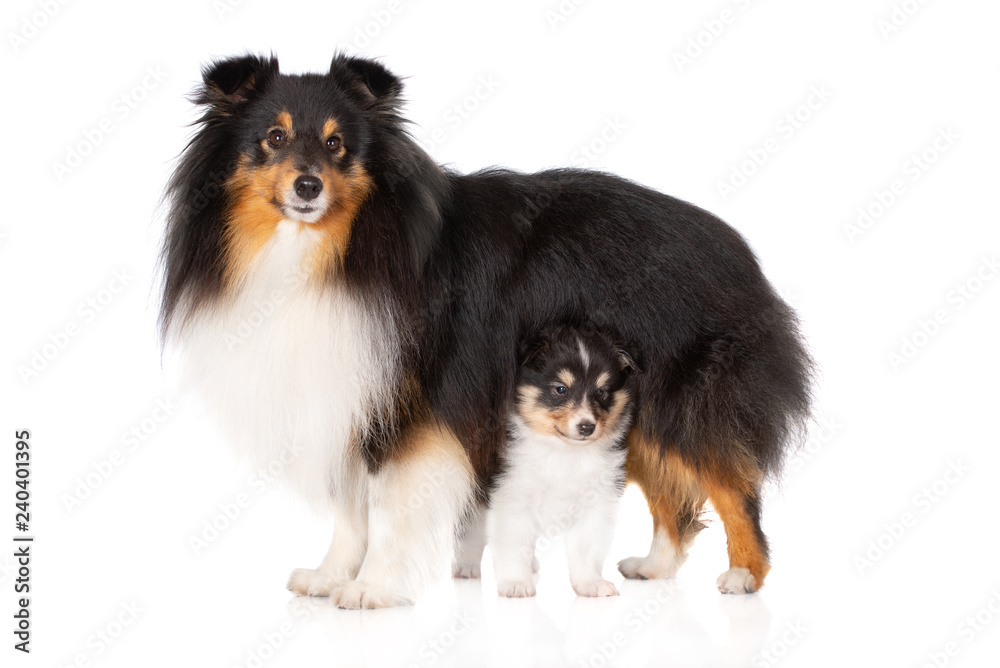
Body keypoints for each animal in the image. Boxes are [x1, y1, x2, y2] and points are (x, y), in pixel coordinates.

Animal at [480, 326, 628, 596]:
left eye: (601, 392)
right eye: (561, 389)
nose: (587, 427)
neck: (564, 453)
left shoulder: (597, 501)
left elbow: (586, 547)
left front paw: (590, 583)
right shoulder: (511, 495)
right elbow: (513, 543)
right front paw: (516, 583)